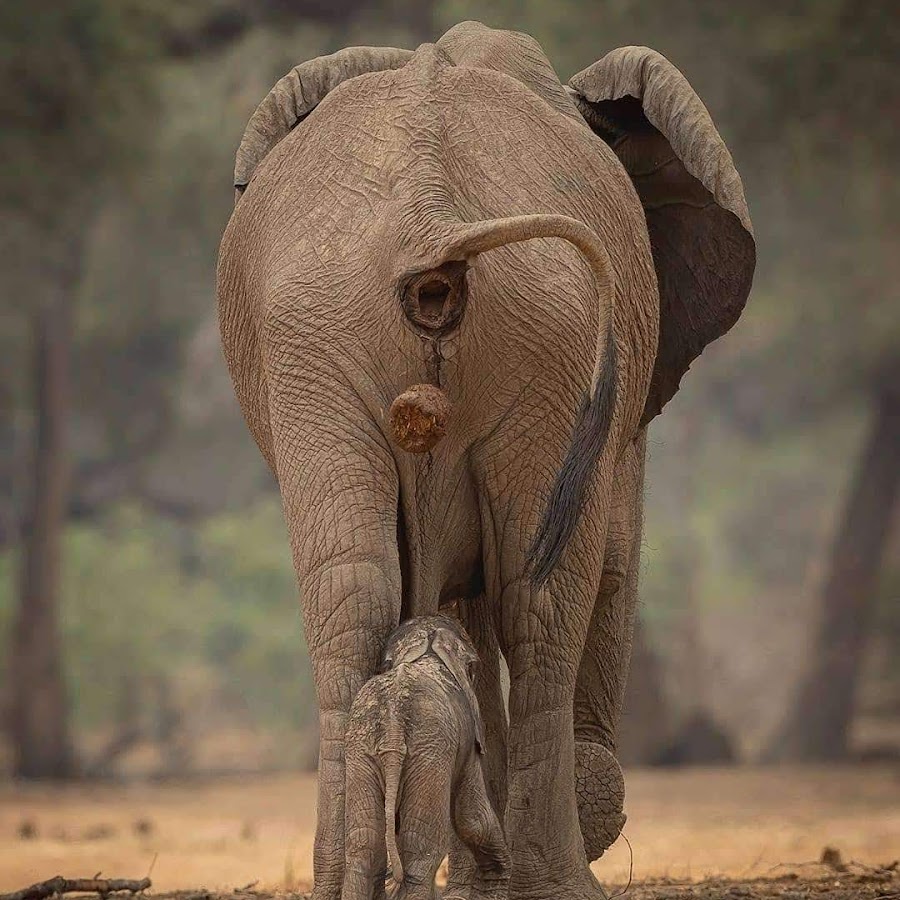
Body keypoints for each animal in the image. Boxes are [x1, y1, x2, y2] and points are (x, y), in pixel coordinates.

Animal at [340, 616, 506, 900]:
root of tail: (394, 719)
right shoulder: (467, 737)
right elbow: (472, 819)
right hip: (430, 750)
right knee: (421, 849)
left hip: (362, 747)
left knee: (364, 842)